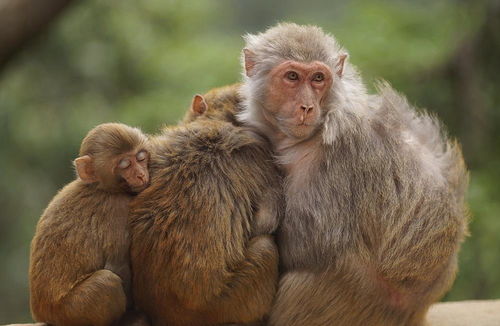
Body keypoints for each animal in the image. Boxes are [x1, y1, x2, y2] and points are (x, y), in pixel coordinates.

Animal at [30, 123, 151, 326]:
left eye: (141, 157)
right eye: (125, 165)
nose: (141, 175)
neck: (99, 187)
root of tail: (43, 312)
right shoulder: (118, 209)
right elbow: (117, 265)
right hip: (73, 310)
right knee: (107, 281)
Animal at [239, 22, 468, 326]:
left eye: (318, 78)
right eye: (292, 77)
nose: (307, 107)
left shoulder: (333, 158)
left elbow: (311, 246)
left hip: (351, 299)